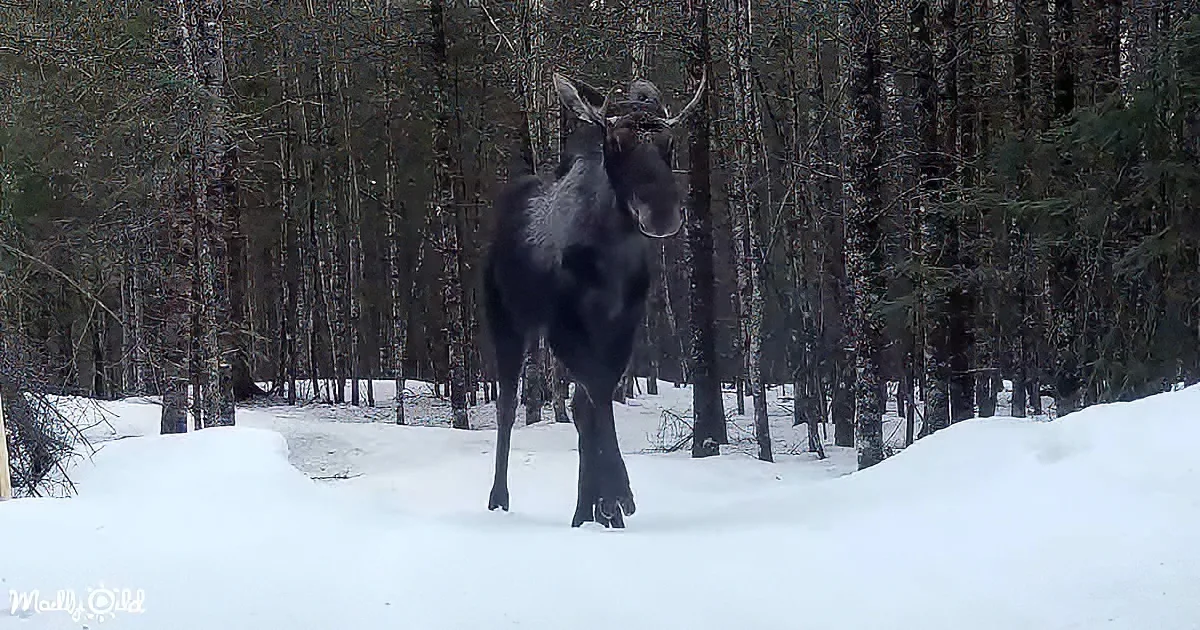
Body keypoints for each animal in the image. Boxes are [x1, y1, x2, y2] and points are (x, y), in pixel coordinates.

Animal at [482, 69, 706, 528]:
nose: (662, 212)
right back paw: (499, 498)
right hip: (506, 319)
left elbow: (592, 400)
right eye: (615, 142)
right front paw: (618, 494)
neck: (611, 258)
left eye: (668, 142)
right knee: (507, 405)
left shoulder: (623, 324)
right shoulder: (562, 326)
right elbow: (598, 393)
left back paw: (584, 509)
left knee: (575, 405)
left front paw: (602, 504)